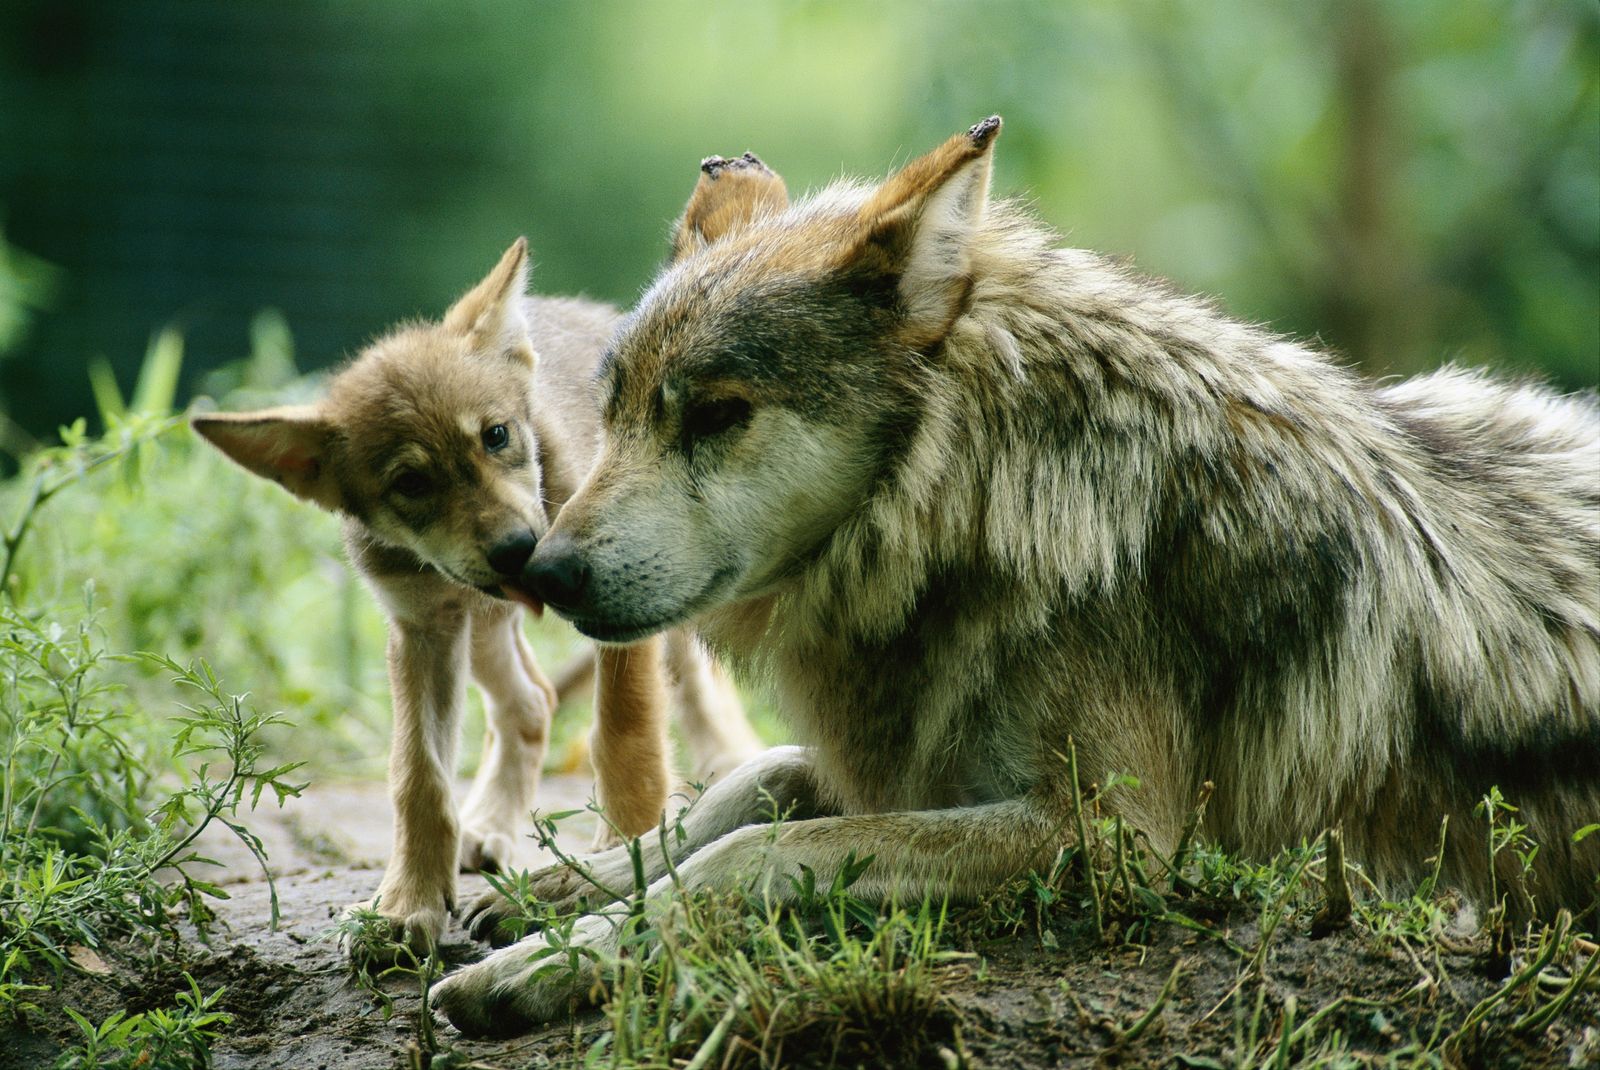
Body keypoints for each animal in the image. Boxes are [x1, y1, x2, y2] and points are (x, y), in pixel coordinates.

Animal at [438, 120, 1600, 1030]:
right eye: (620, 409)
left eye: (720, 414)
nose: (543, 569)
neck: (992, 498)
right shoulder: (909, 757)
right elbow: (748, 784)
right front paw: (554, 893)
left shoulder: (1113, 839)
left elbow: (762, 850)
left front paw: (556, 958)